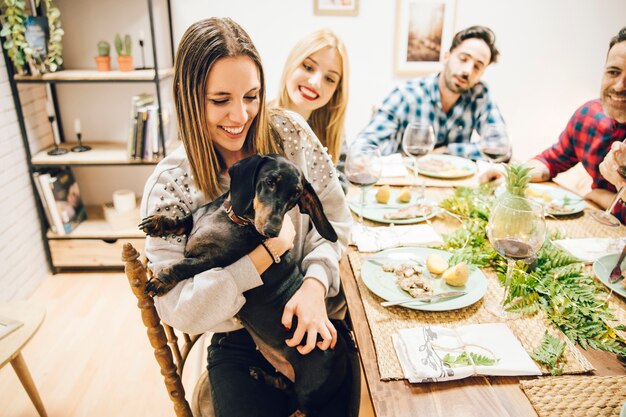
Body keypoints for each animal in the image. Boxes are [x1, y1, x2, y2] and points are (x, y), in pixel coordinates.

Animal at [139, 154, 358, 416]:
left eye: (295, 195)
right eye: (271, 181)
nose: (273, 231)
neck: (232, 218)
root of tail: (344, 352)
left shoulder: (212, 262)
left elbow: (183, 265)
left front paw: (161, 279)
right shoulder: (195, 221)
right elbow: (184, 220)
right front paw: (160, 222)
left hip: (310, 391)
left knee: (296, 401)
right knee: (285, 385)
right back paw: (263, 375)